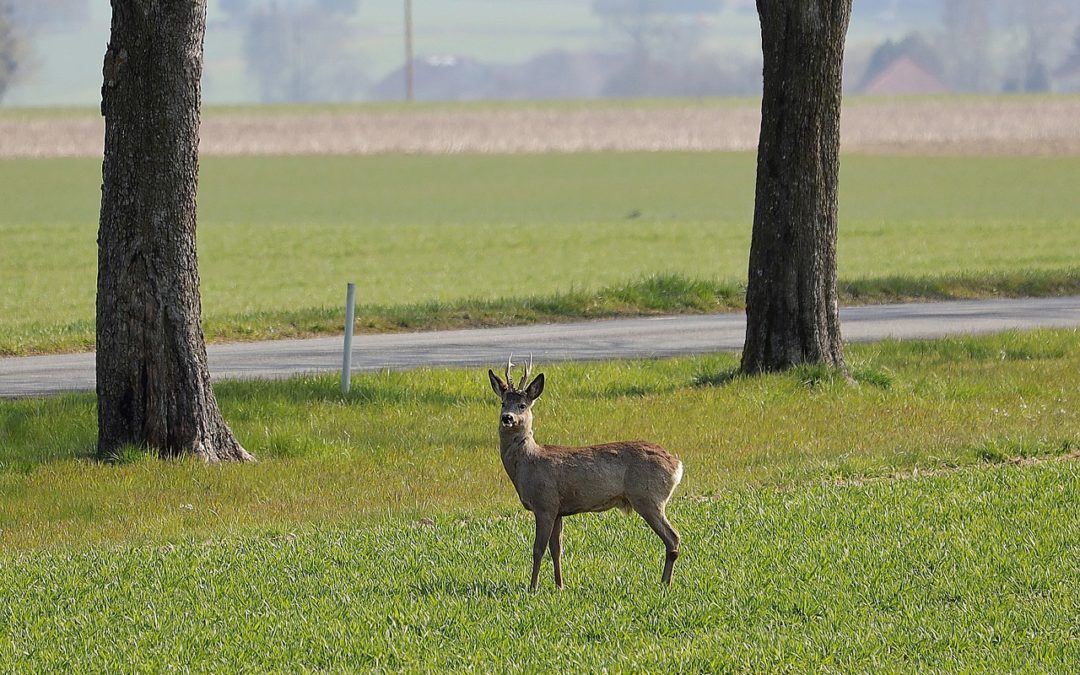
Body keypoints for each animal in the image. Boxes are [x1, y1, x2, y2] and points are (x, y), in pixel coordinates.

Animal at [490, 356, 682, 587]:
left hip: (648, 497)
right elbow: (557, 549)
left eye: (522, 405)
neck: (528, 463)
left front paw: (532, 587)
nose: (507, 418)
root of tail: (677, 465)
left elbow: (538, 550)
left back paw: (665, 583)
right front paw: (560, 585)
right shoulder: (558, 510)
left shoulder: (545, 503)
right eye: (502, 402)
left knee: (673, 537)